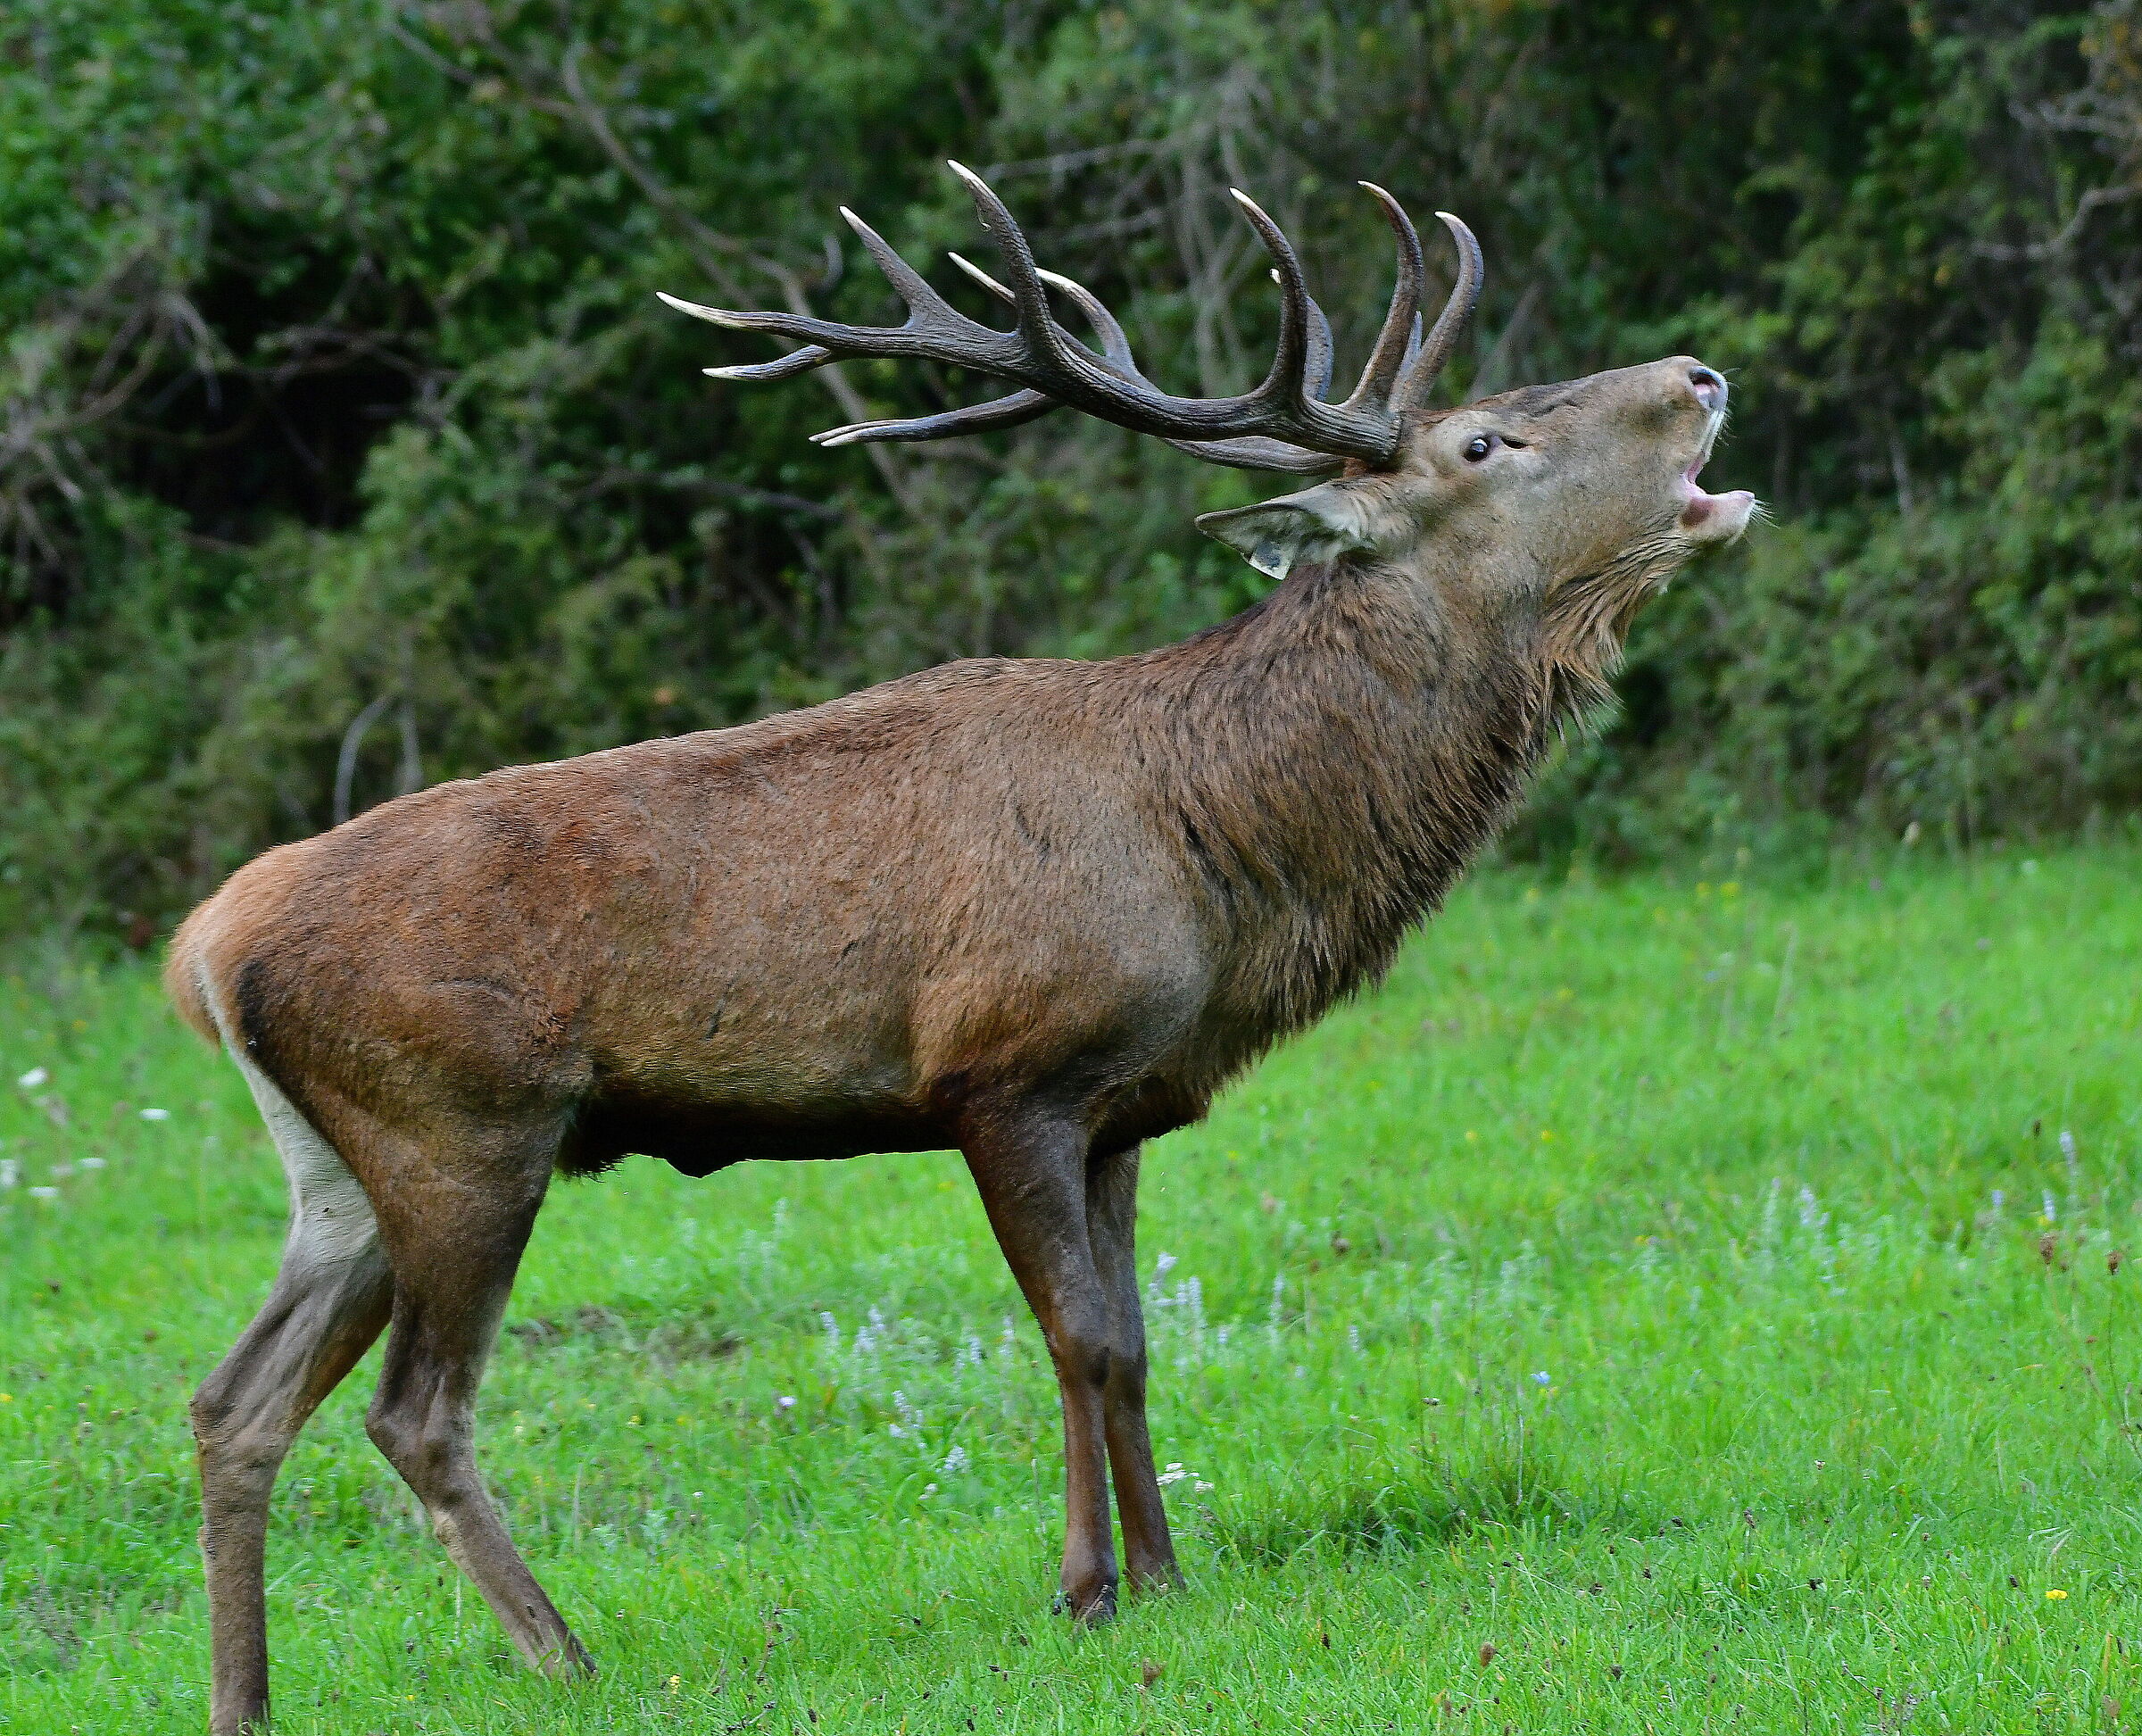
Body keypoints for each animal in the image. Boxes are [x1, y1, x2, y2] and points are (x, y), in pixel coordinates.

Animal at [165, 159, 1753, 1733]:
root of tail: (203, 950)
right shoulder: (1006, 1072)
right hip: (466, 1124)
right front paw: (1085, 1592)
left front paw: (1169, 1577)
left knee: (237, 1399)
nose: (1698, 373)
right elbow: (1079, 1337)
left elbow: (1137, 1341)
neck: (1222, 845)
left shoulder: (1125, 1108)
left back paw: (247, 1701)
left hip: (343, 1169)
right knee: (416, 1410)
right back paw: (571, 1659)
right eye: (1486, 441)